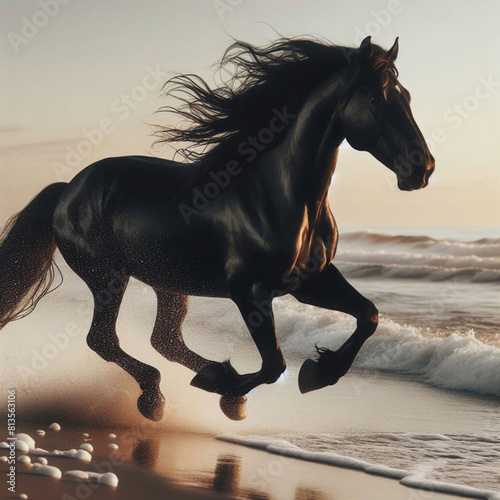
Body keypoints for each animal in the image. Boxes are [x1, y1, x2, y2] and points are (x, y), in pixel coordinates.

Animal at [0, 35, 434, 420]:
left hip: (169, 281)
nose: (422, 169)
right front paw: (227, 388)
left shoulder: (311, 280)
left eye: (408, 97)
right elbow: (274, 365)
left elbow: (368, 316)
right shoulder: (249, 292)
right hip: (109, 277)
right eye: (376, 98)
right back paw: (159, 397)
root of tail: (68, 189)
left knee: (163, 340)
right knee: (104, 340)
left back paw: (199, 381)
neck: (281, 195)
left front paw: (318, 372)